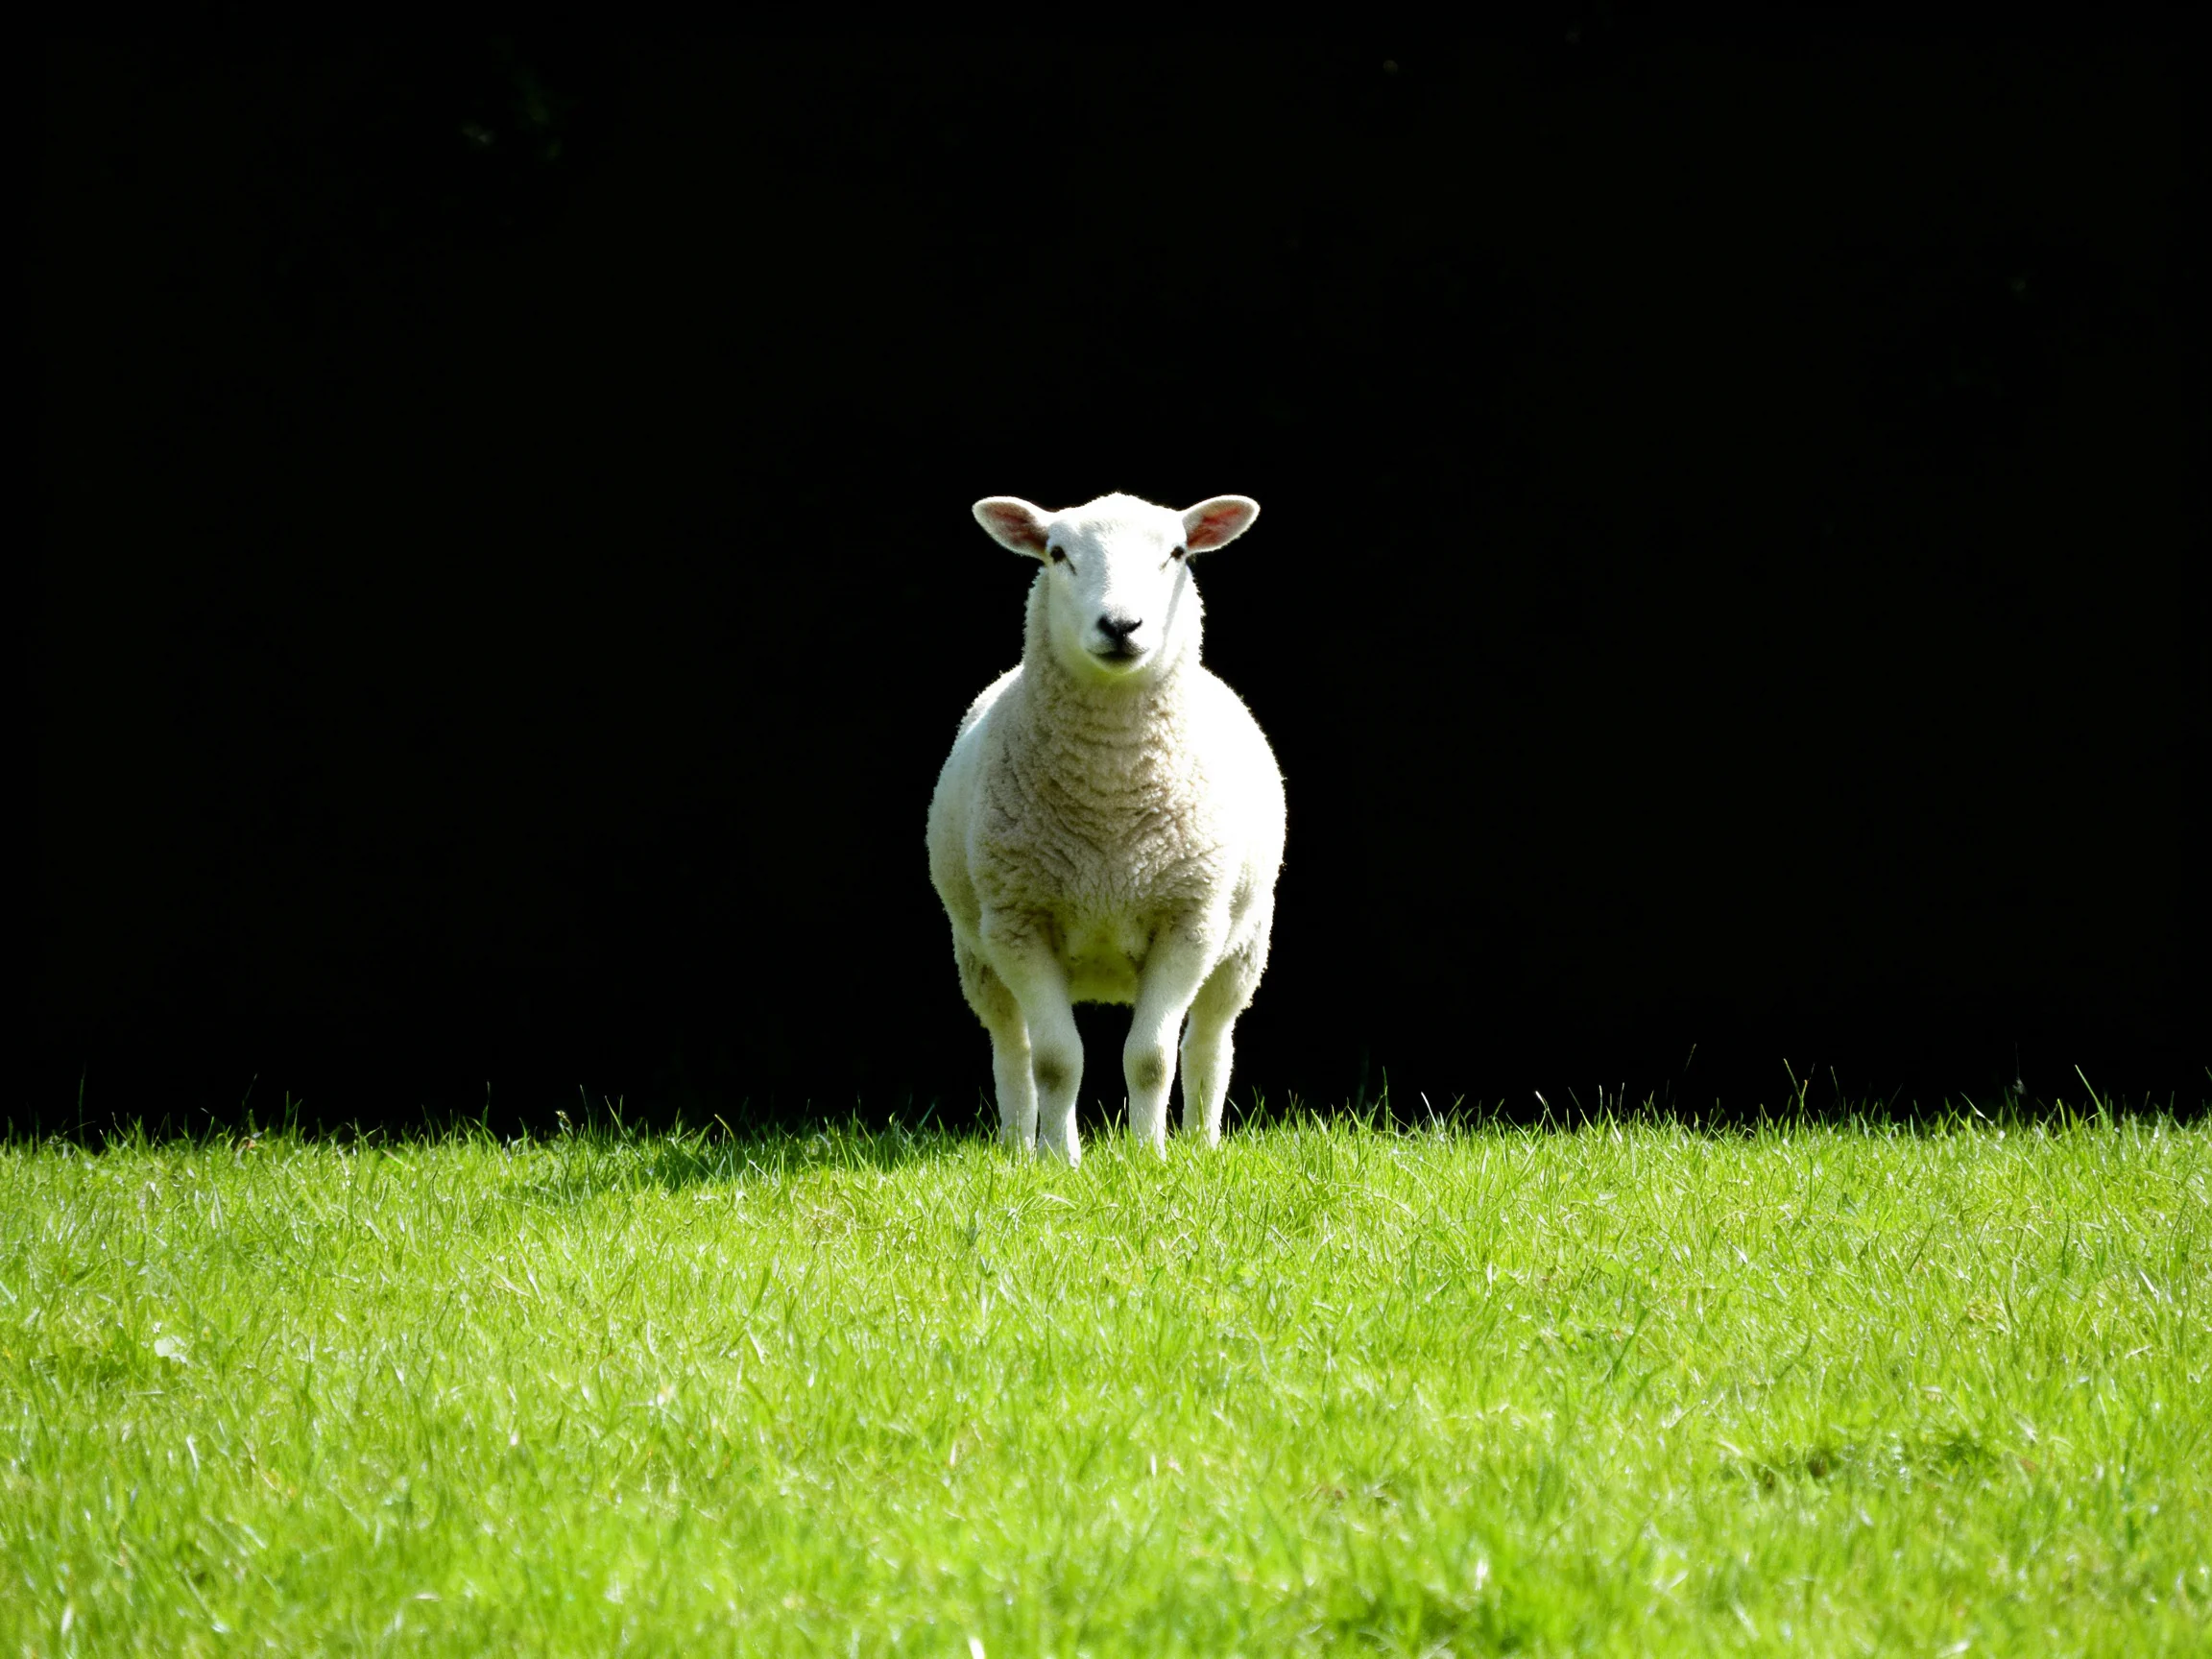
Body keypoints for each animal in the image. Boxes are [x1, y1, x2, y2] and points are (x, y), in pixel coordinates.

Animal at [926, 491, 1286, 1163]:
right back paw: (1018, 1149)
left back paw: (1202, 1146)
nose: (1121, 626)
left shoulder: (1190, 922)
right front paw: (1059, 1162)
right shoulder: (1019, 924)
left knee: (1209, 1041)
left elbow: (1150, 1059)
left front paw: (1149, 1158)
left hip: (1244, 943)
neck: (1110, 802)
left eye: (1176, 552)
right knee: (1011, 1049)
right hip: (976, 949)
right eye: (1057, 553)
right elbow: (1056, 1062)